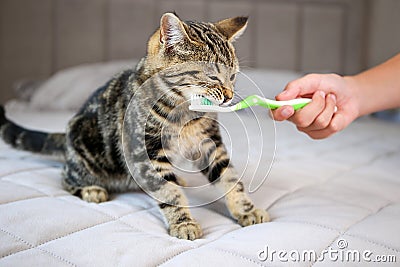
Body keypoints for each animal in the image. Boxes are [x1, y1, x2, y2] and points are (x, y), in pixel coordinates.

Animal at [0, 13, 270, 242]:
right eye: (212, 76)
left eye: (233, 76)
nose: (229, 96)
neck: (183, 112)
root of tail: (65, 137)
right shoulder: (146, 152)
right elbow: (167, 191)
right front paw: (183, 223)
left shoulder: (209, 143)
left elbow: (229, 177)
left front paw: (246, 209)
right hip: (85, 153)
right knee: (67, 176)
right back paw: (90, 189)